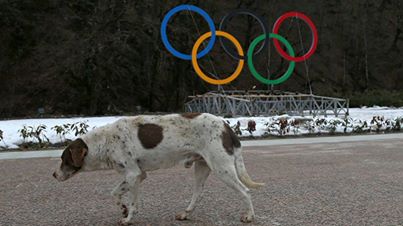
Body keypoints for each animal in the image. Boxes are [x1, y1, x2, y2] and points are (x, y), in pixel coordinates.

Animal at [53, 113, 266, 224]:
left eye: (64, 159)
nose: (54, 175)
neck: (104, 141)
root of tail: (225, 125)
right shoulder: (138, 176)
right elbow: (127, 198)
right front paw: (126, 211)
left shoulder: (133, 174)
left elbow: (119, 195)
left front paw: (126, 215)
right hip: (202, 167)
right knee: (197, 193)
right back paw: (185, 213)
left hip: (223, 169)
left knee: (245, 191)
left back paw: (249, 215)